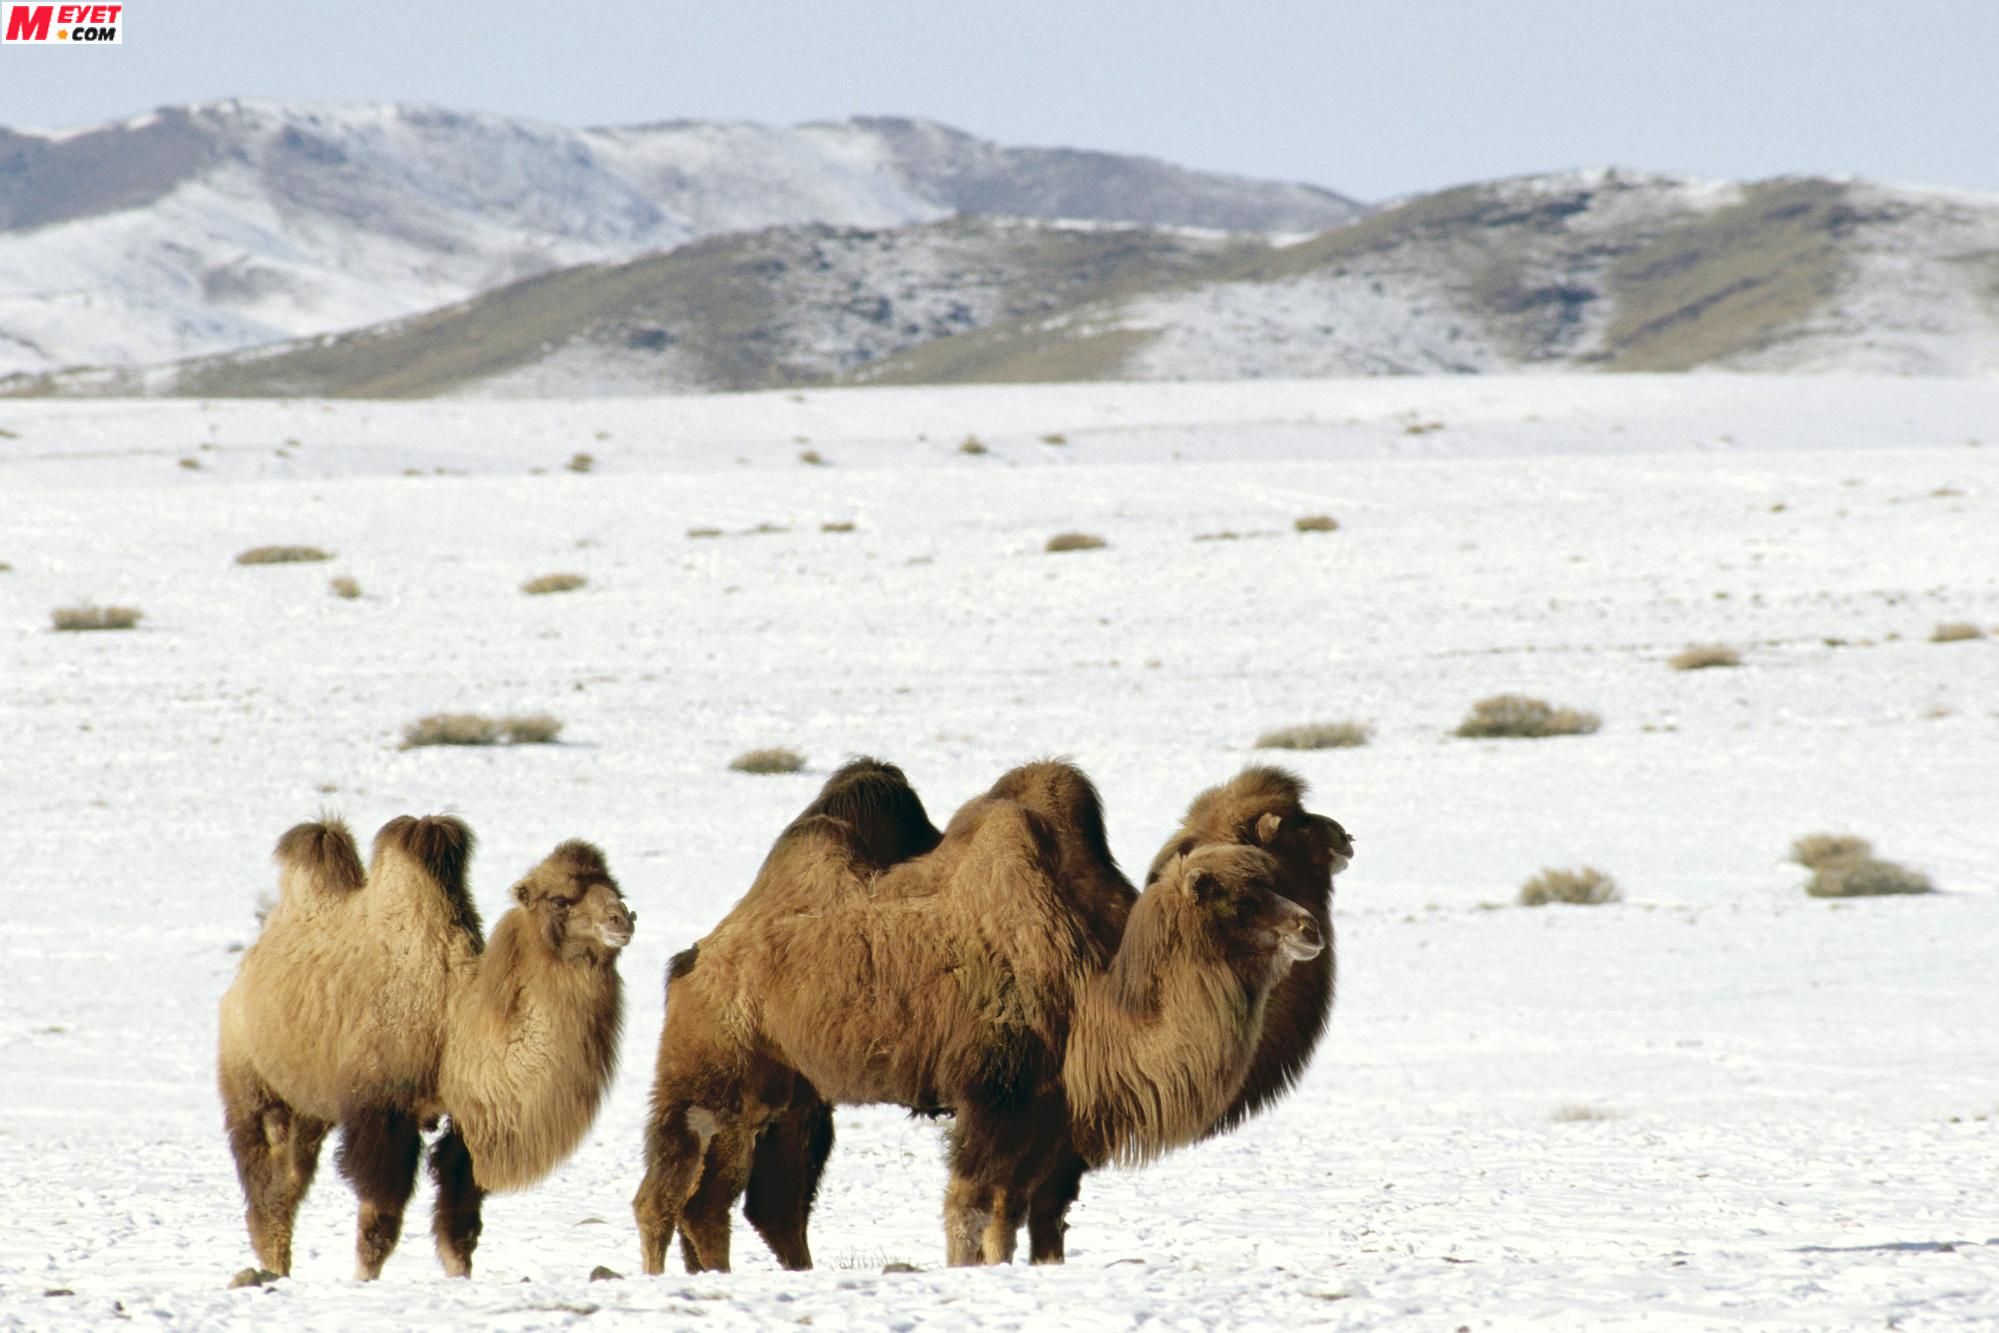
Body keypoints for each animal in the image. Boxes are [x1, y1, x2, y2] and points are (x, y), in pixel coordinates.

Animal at [216, 815, 631, 1279]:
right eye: (560, 900)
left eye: (617, 889)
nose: (621, 919)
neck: (451, 1023)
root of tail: (247, 969)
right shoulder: (383, 1112)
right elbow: (379, 1218)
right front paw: (364, 1281)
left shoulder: (468, 1120)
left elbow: (459, 1220)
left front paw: (459, 1278)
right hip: (250, 1078)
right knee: (265, 1176)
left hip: (310, 1103)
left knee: (289, 1178)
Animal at [623, 759, 1311, 1271]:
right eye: (1237, 894)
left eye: (1273, 879)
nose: (1307, 926)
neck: (1089, 992)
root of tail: (696, 956)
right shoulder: (993, 1093)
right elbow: (971, 1205)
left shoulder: (1045, 1111)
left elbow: (1015, 1213)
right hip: (709, 1064)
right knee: (667, 1192)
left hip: (788, 1095)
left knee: (748, 1203)